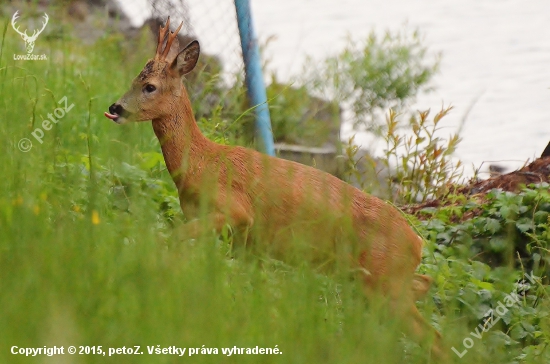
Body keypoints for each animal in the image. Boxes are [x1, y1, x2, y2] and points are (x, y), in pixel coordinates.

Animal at [105, 16, 446, 358]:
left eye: (150, 86)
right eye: (135, 78)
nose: (116, 108)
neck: (201, 163)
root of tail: (417, 242)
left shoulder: (236, 213)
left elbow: (171, 238)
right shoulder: (245, 242)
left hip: (385, 281)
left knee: (433, 336)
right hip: (375, 281)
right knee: (423, 288)